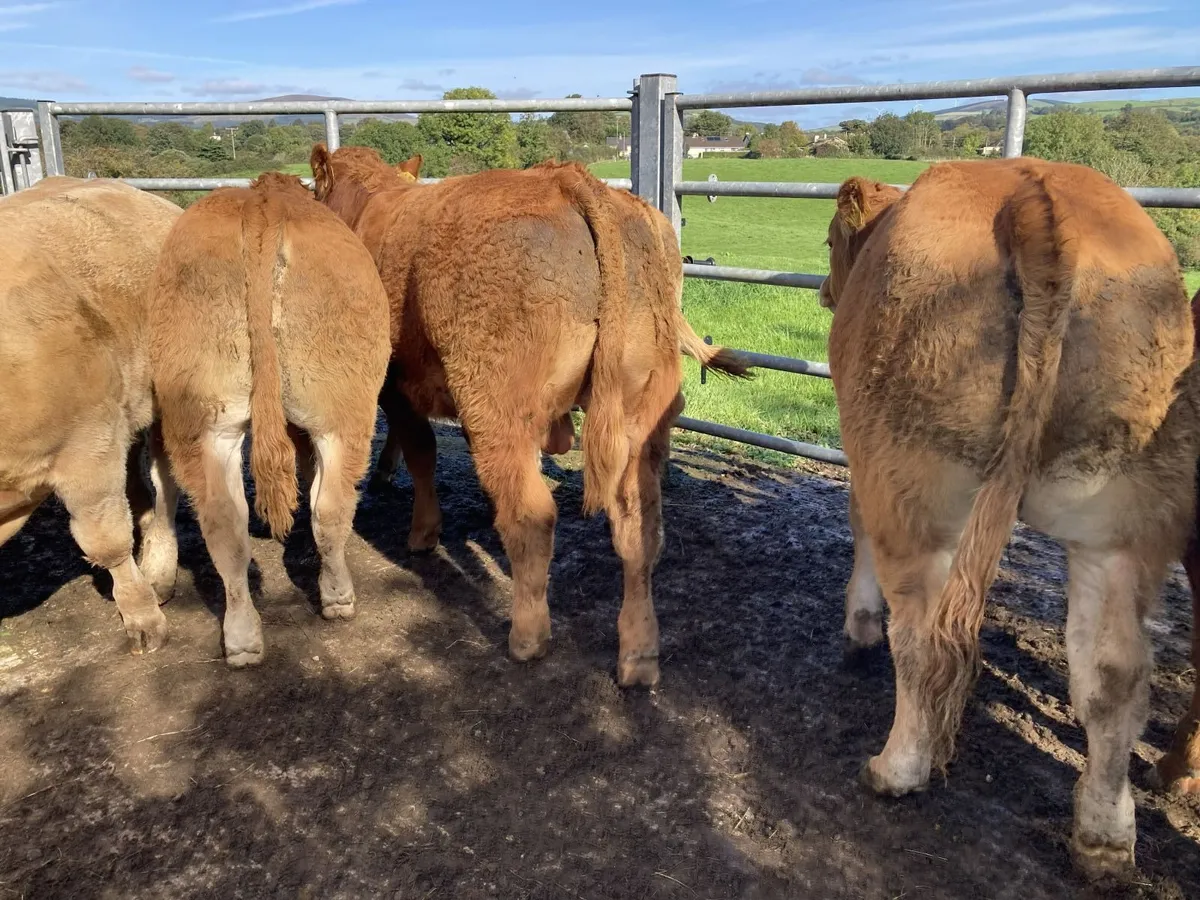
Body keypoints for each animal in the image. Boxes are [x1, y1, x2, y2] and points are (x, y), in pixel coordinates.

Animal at [146, 172, 391, 666]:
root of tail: (262, 206)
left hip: (207, 418)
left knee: (226, 524)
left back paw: (243, 637)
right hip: (340, 409)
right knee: (325, 509)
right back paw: (334, 600)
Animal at [308, 144, 749, 687]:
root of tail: (568, 179)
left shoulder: (396, 385)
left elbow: (423, 455)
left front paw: (423, 531)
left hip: (497, 406)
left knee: (533, 516)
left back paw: (527, 636)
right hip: (639, 411)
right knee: (639, 527)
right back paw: (639, 655)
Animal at [821, 158, 1200, 879]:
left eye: (830, 240)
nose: (827, 291)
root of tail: (1032, 190)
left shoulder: (864, 459)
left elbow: (857, 529)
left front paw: (857, 625)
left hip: (911, 482)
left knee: (924, 640)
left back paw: (896, 768)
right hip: (1119, 524)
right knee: (1114, 675)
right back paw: (1106, 835)